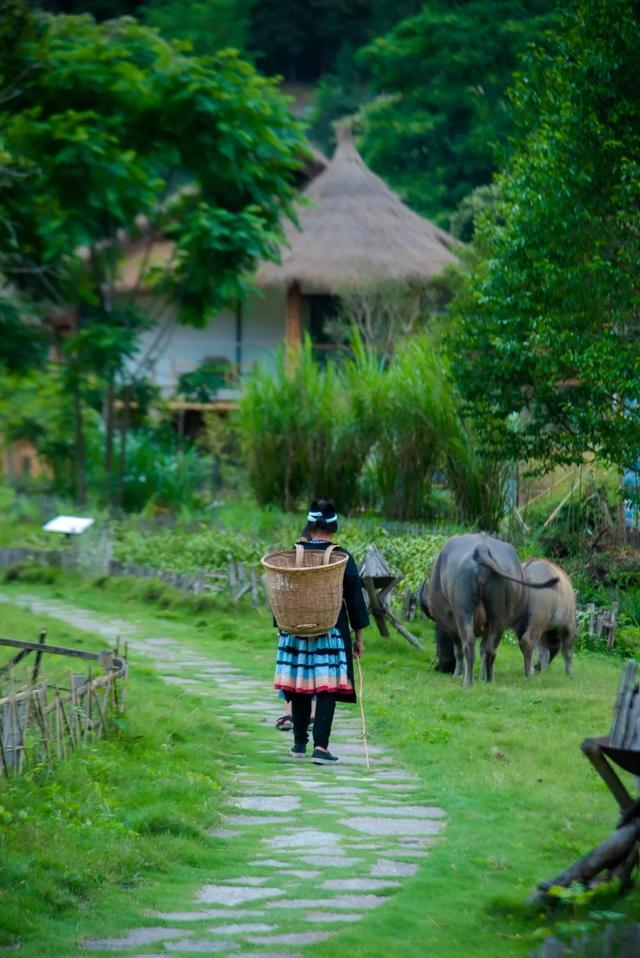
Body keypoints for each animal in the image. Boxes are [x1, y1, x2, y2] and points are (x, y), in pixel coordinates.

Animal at [418, 536, 556, 688]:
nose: (441, 667)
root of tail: (481, 548)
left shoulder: (450, 626)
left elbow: (458, 649)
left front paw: (458, 673)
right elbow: (483, 650)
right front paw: (482, 675)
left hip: (463, 612)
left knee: (468, 643)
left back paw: (468, 681)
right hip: (499, 617)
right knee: (490, 648)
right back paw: (489, 679)